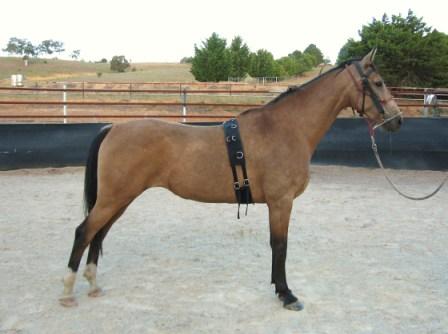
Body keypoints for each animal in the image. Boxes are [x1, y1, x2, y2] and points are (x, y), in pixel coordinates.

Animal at [58, 49, 402, 310]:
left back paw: (92, 284)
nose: (397, 120)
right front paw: (286, 294)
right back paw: (68, 291)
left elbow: (278, 245)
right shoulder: (281, 202)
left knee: (98, 234)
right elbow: (280, 245)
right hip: (114, 198)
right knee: (83, 232)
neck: (286, 128)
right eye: (377, 82)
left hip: (120, 199)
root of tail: (113, 127)